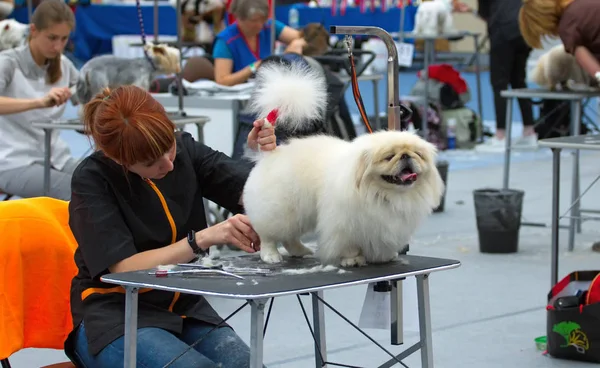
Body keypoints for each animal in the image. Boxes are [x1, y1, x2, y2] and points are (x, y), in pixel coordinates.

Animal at [241, 61, 442, 268]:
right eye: (389, 157)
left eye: (418, 155)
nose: (406, 156)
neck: (383, 194)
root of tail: (272, 153)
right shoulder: (345, 223)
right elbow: (348, 244)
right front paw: (352, 259)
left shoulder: (384, 225)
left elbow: (382, 242)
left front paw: (385, 256)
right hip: (281, 212)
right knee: (269, 235)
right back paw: (271, 255)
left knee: (290, 238)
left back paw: (301, 252)